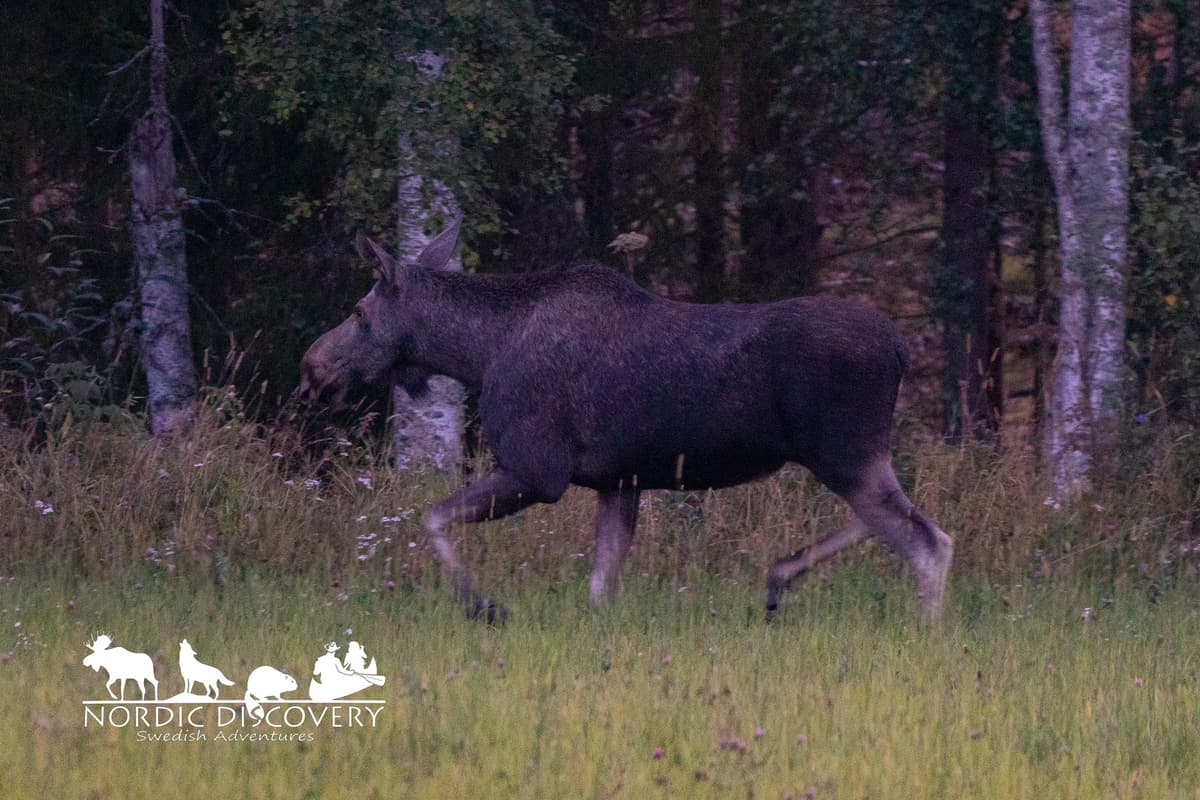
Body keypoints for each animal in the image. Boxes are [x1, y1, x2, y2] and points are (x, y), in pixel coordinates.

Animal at [298, 219, 953, 624]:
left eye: (359, 312)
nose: (311, 366)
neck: (479, 355)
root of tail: (902, 350)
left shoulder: (538, 469)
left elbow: (431, 516)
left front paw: (484, 607)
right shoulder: (619, 481)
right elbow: (599, 589)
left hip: (843, 450)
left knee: (928, 541)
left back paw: (922, 633)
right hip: (849, 455)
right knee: (895, 522)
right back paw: (779, 578)